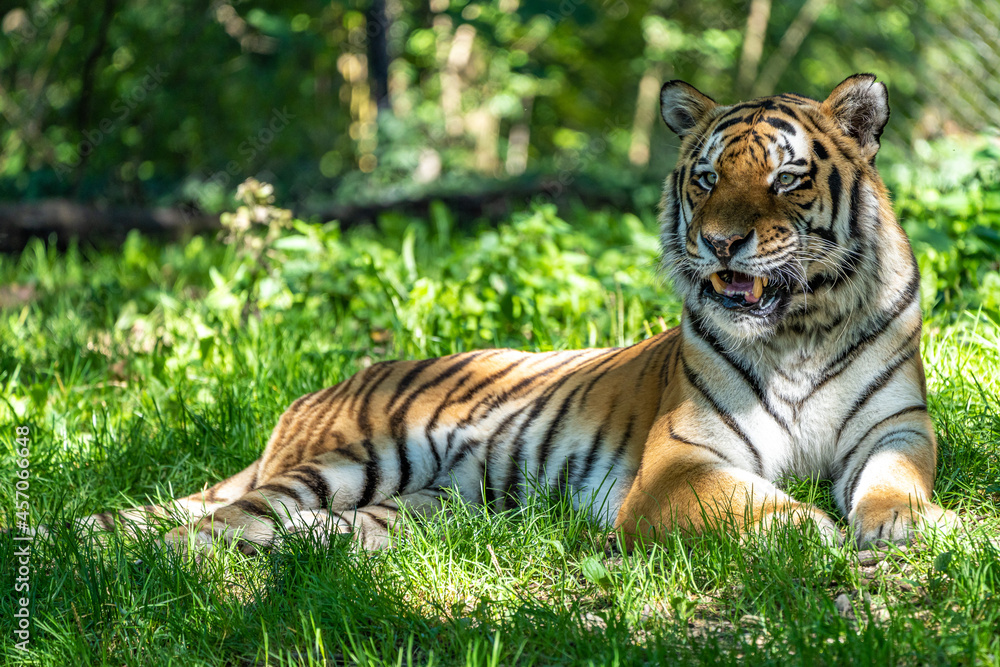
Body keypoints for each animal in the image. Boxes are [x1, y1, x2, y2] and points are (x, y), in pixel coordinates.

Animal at [64, 73, 956, 554]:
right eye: (705, 179)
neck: (798, 331)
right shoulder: (681, 461)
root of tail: (315, 391)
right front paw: (817, 532)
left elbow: (894, 482)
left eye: (787, 178)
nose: (719, 241)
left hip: (417, 506)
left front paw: (917, 524)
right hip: (341, 462)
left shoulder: (895, 428)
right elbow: (760, 505)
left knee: (299, 531)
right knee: (210, 527)